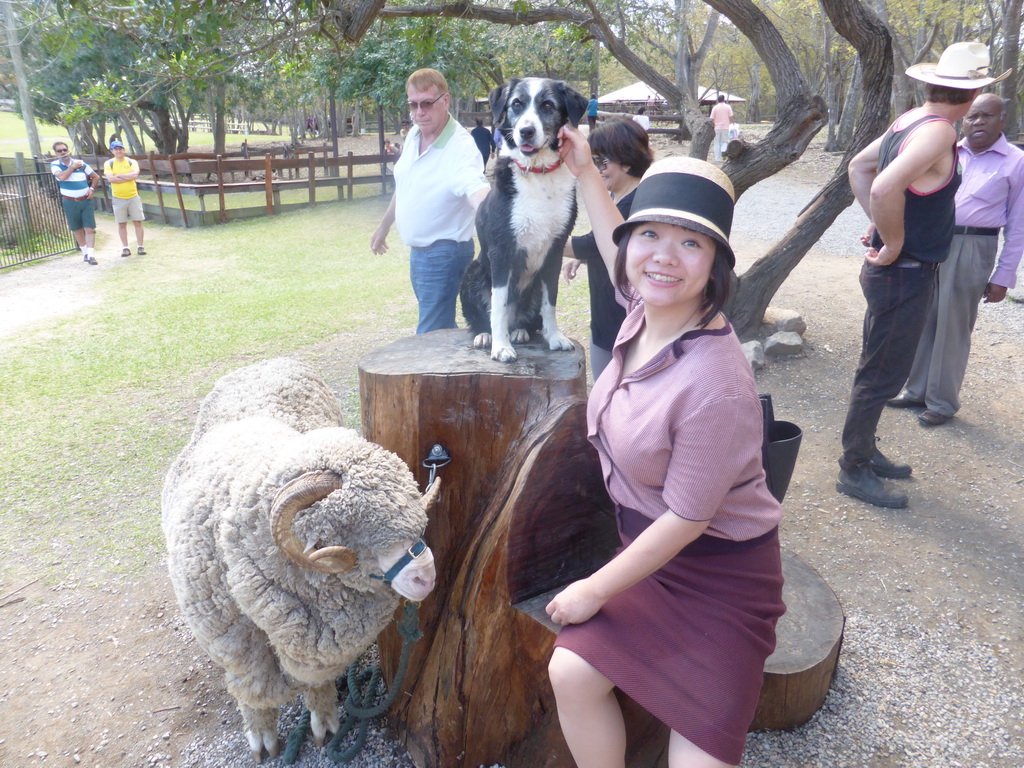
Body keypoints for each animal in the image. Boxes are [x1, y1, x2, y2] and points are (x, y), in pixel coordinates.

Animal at [161, 360, 438, 765]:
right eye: (348, 526)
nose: (426, 577)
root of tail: (263, 362)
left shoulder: (319, 651)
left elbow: (316, 684)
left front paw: (325, 722)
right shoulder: (236, 647)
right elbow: (254, 691)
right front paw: (261, 736)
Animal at [460, 79, 589, 362]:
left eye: (548, 105)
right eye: (516, 104)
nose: (526, 131)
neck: (537, 172)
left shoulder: (555, 250)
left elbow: (550, 303)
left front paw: (555, 337)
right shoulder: (501, 250)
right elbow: (498, 306)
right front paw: (501, 346)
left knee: (527, 319)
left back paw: (519, 331)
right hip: (472, 272)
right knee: (484, 316)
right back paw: (485, 335)